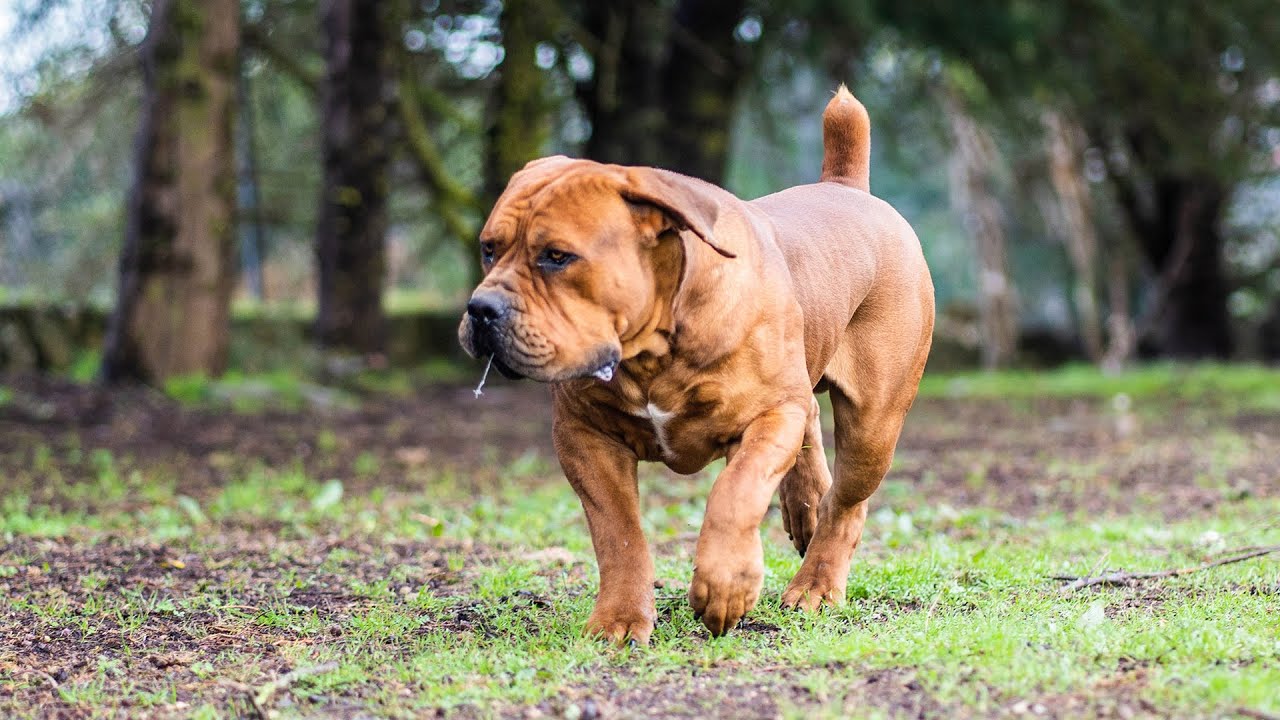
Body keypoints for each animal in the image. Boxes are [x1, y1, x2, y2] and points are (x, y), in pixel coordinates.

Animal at [458, 83, 931, 638]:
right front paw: (620, 619)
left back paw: (815, 585)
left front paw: (725, 587)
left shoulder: (769, 415)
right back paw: (805, 506)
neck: (652, 351)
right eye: (489, 250)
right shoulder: (584, 437)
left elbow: (735, 493)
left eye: (557, 256)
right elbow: (618, 533)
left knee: (847, 501)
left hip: (873, 424)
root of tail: (847, 187)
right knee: (813, 425)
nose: (481, 309)